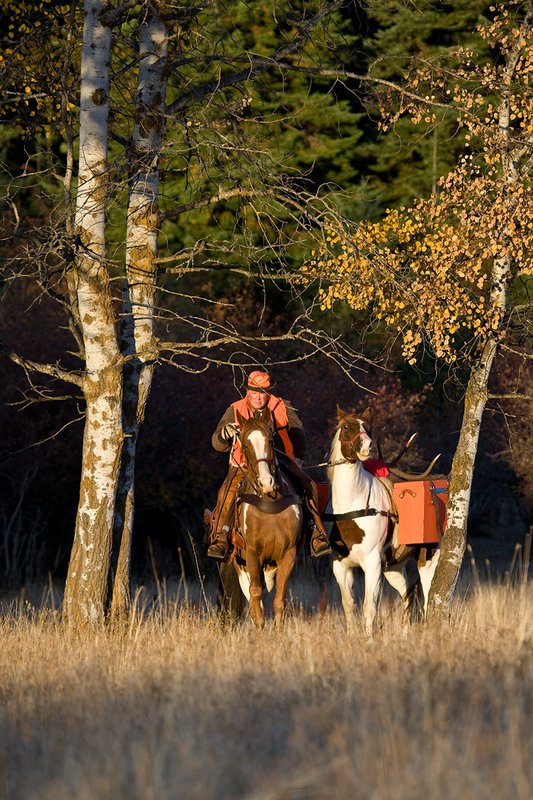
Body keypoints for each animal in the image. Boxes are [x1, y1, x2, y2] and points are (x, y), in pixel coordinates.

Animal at [231, 407, 304, 628]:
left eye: (271, 441)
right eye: (245, 444)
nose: (266, 482)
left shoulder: (287, 555)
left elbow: (279, 600)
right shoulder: (252, 554)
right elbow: (255, 595)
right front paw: (260, 628)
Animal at [325, 406, 441, 636]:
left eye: (368, 427)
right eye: (347, 426)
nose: (367, 446)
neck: (353, 508)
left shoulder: (372, 564)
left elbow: (370, 607)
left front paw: (368, 640)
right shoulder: (341, 566)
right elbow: (348, 605)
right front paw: (351, 637)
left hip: (427, 559)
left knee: (426, 596)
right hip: (393, 568)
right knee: (407, 593)